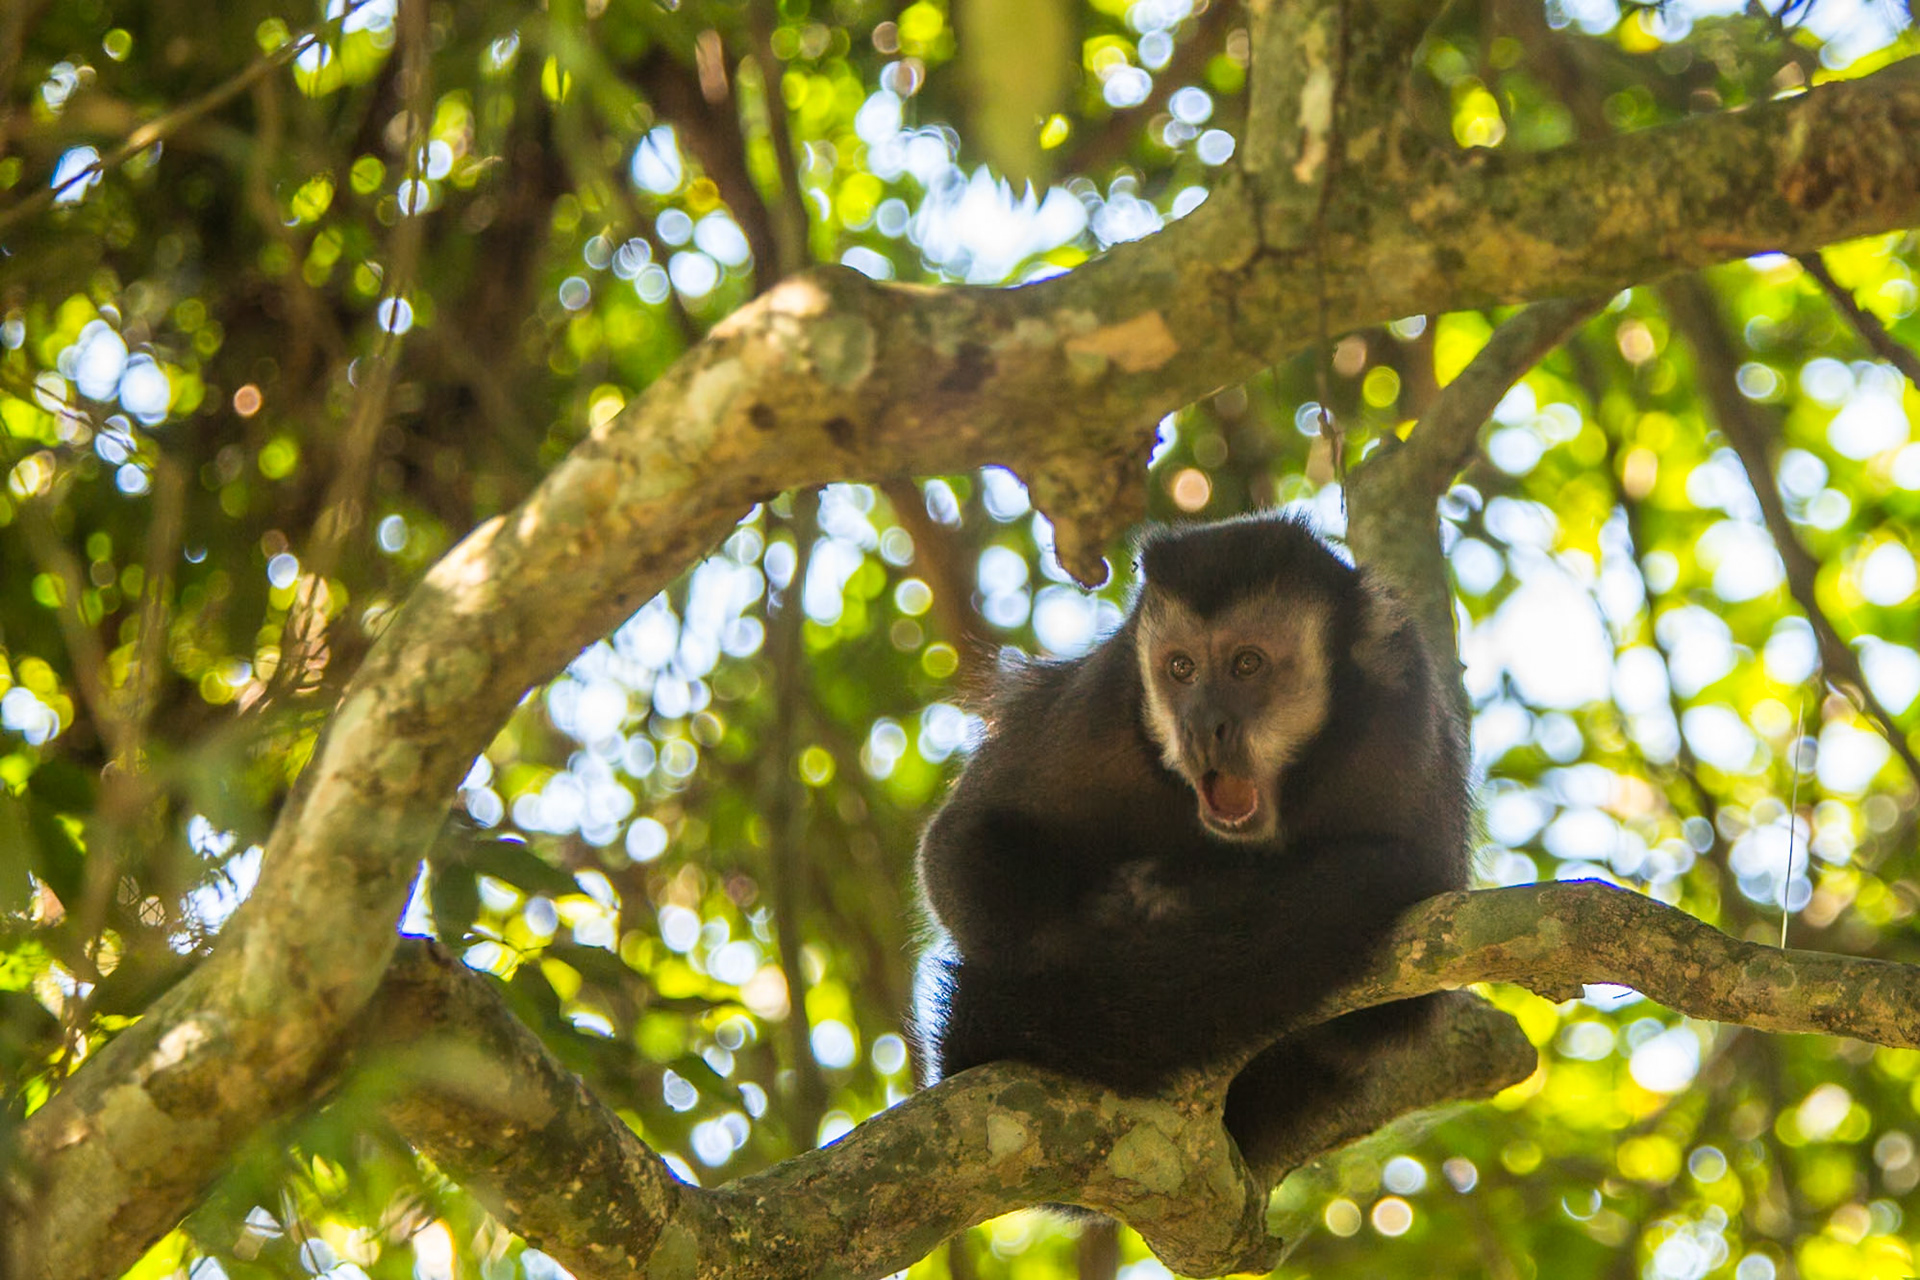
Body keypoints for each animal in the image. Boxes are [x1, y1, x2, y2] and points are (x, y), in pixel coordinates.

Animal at [911, 513, 1469, 1171]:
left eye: (1247, 664)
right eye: (1182, 669)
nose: (1202, 724)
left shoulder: (1404, 712)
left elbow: (1388, 1013)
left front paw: (1179, 898)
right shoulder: (1099, 706)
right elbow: (959, 850)